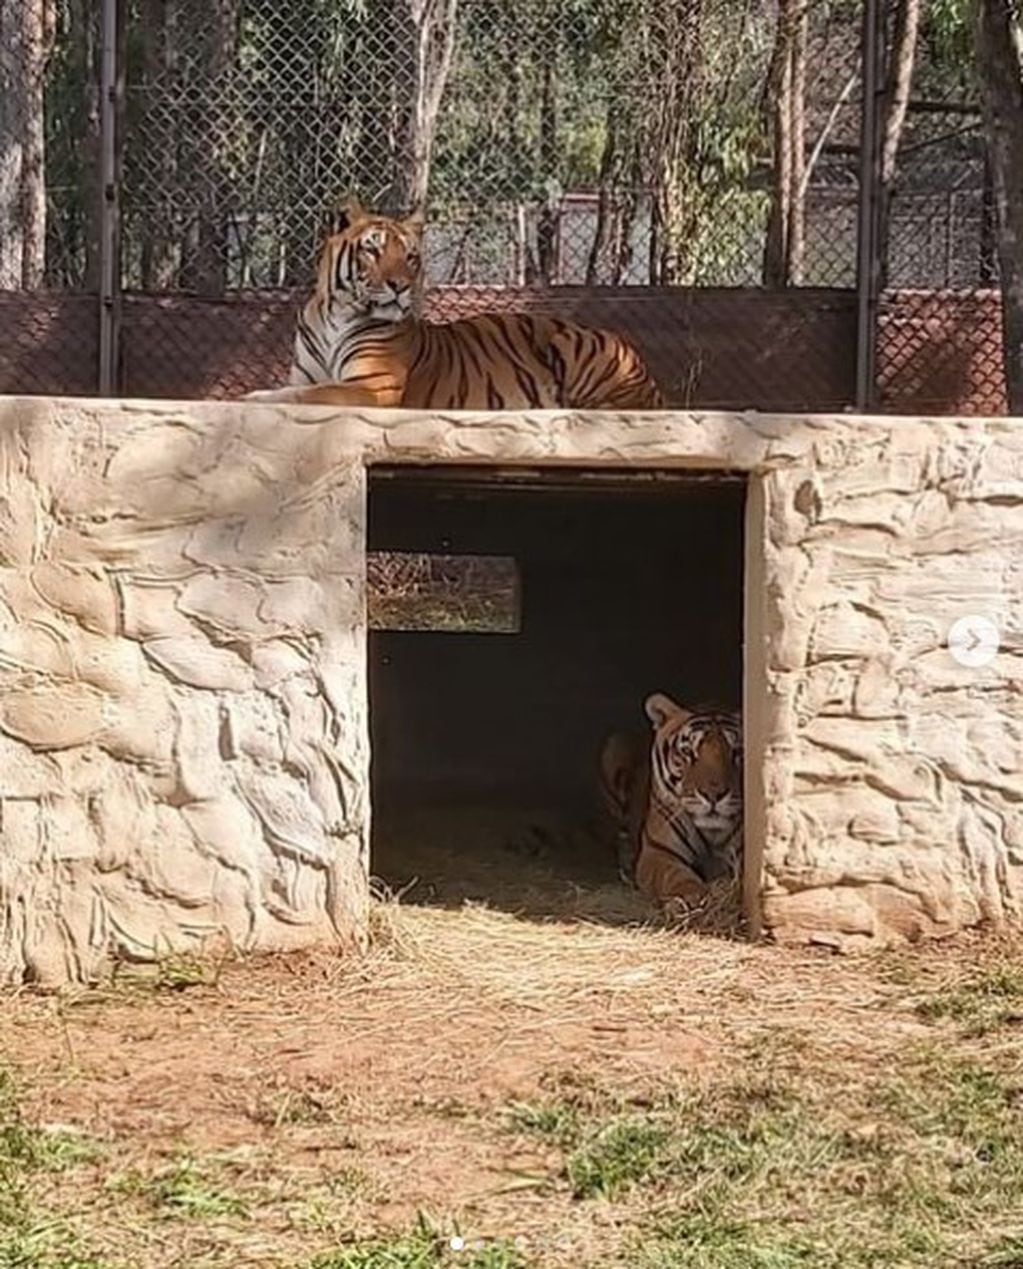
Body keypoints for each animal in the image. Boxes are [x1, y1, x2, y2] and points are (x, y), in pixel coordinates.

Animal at [247, 196, 665, 411]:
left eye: (410, 257)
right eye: (373, 250)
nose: (400, 286)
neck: (336, 314)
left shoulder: (374, 384)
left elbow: (307, 395)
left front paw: (254, 396)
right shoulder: (309, 374)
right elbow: (302, 388)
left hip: (576, 344)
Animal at [601, 695, 746, 913]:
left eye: (737, 752)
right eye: (687, 752)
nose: (713, 795)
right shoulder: (658, 852)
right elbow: (674, 874)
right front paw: (691, 898)